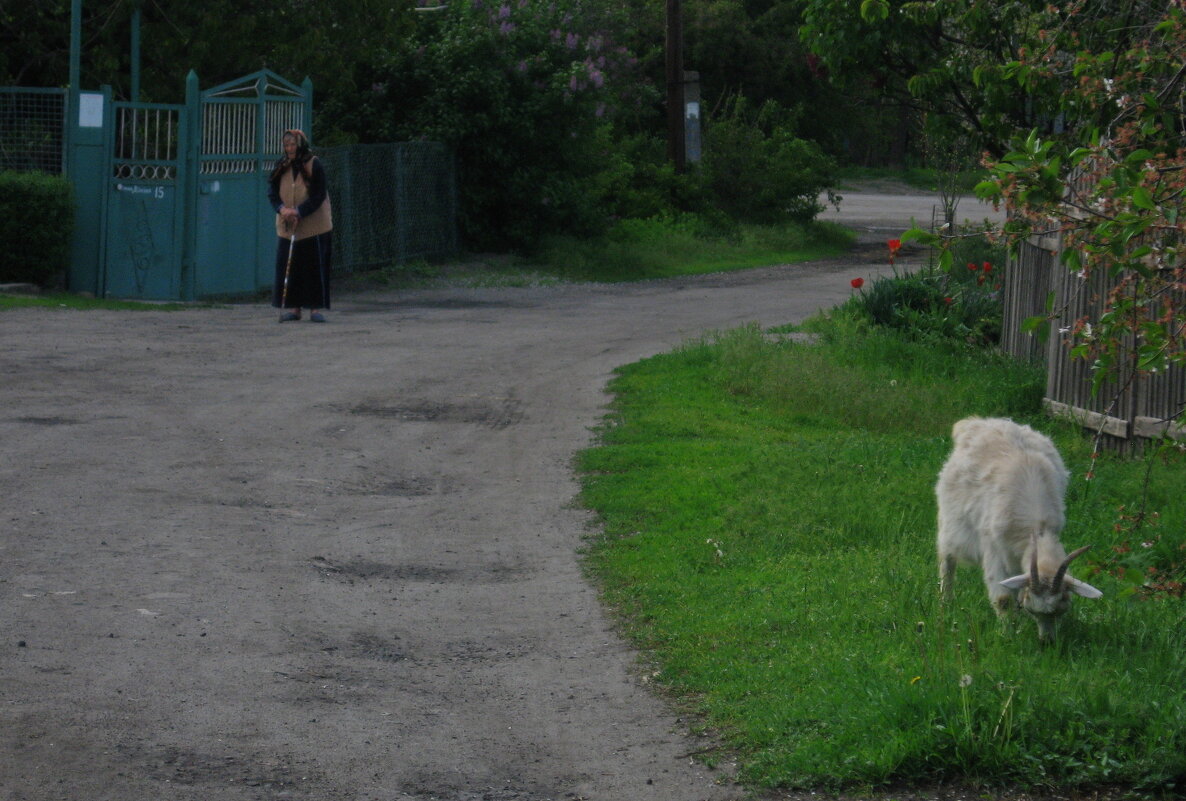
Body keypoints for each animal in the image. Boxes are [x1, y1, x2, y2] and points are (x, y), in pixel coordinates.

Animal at [934, 417, 1100, 640]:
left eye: (1062, 608)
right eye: (1033, 609)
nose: (1047, 642)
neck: (1038, 528)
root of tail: (976, 423)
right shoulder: (993, 548)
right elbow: (1004, 599)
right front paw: (1007, 635)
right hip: (949, 520)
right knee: (947, 561)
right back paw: (947, 603)